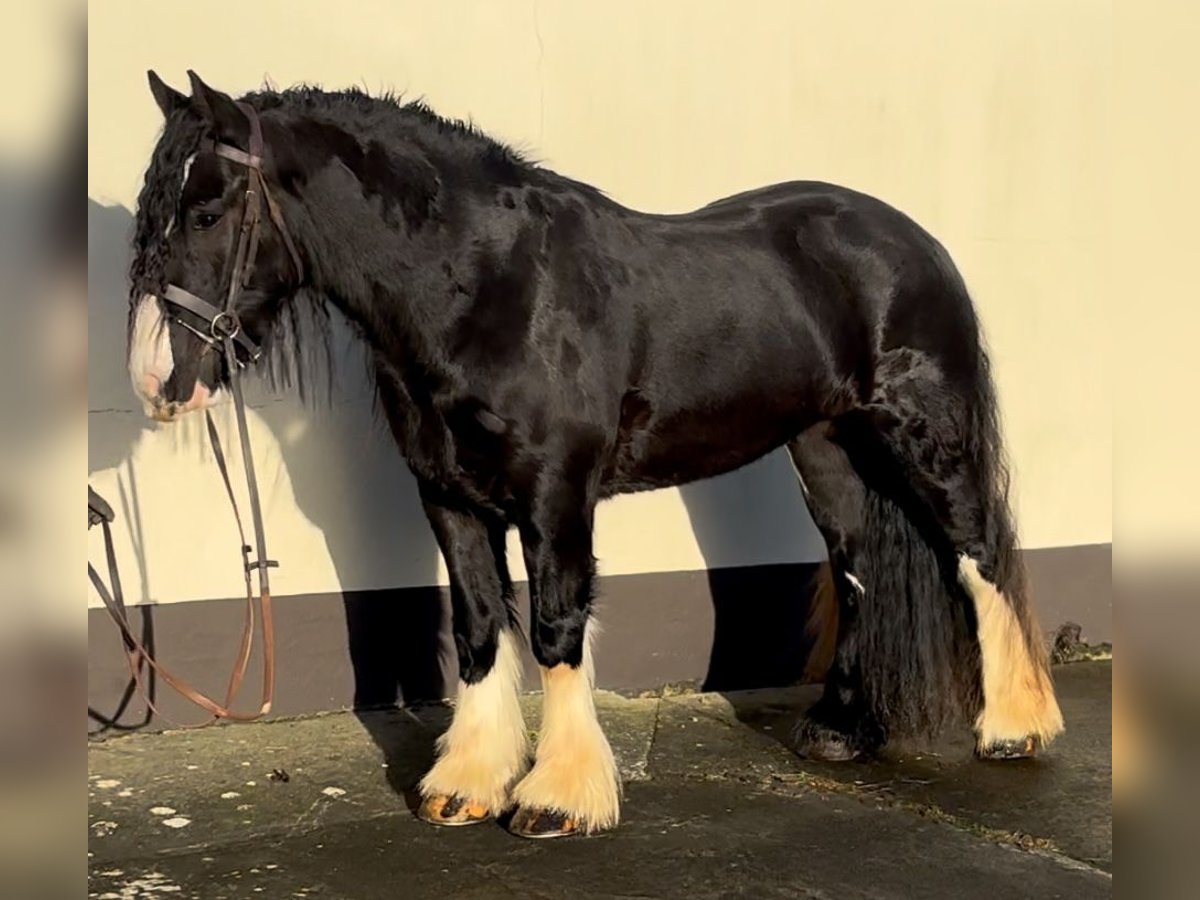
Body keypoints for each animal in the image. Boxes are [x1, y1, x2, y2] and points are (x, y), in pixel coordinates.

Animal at [124, 70, 1060, 840]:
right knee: (857, 563)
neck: (488, 289)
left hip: (920, 435)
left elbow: (554, 627)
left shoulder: (555, 495)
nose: (155, 379)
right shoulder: (447, 496)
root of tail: (912, 241)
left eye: (205, 210)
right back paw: (840, 730)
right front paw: (465, 786)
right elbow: (477, 627)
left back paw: (1015, 729)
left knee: (979, 554)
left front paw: (557, 798)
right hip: (825, 447)